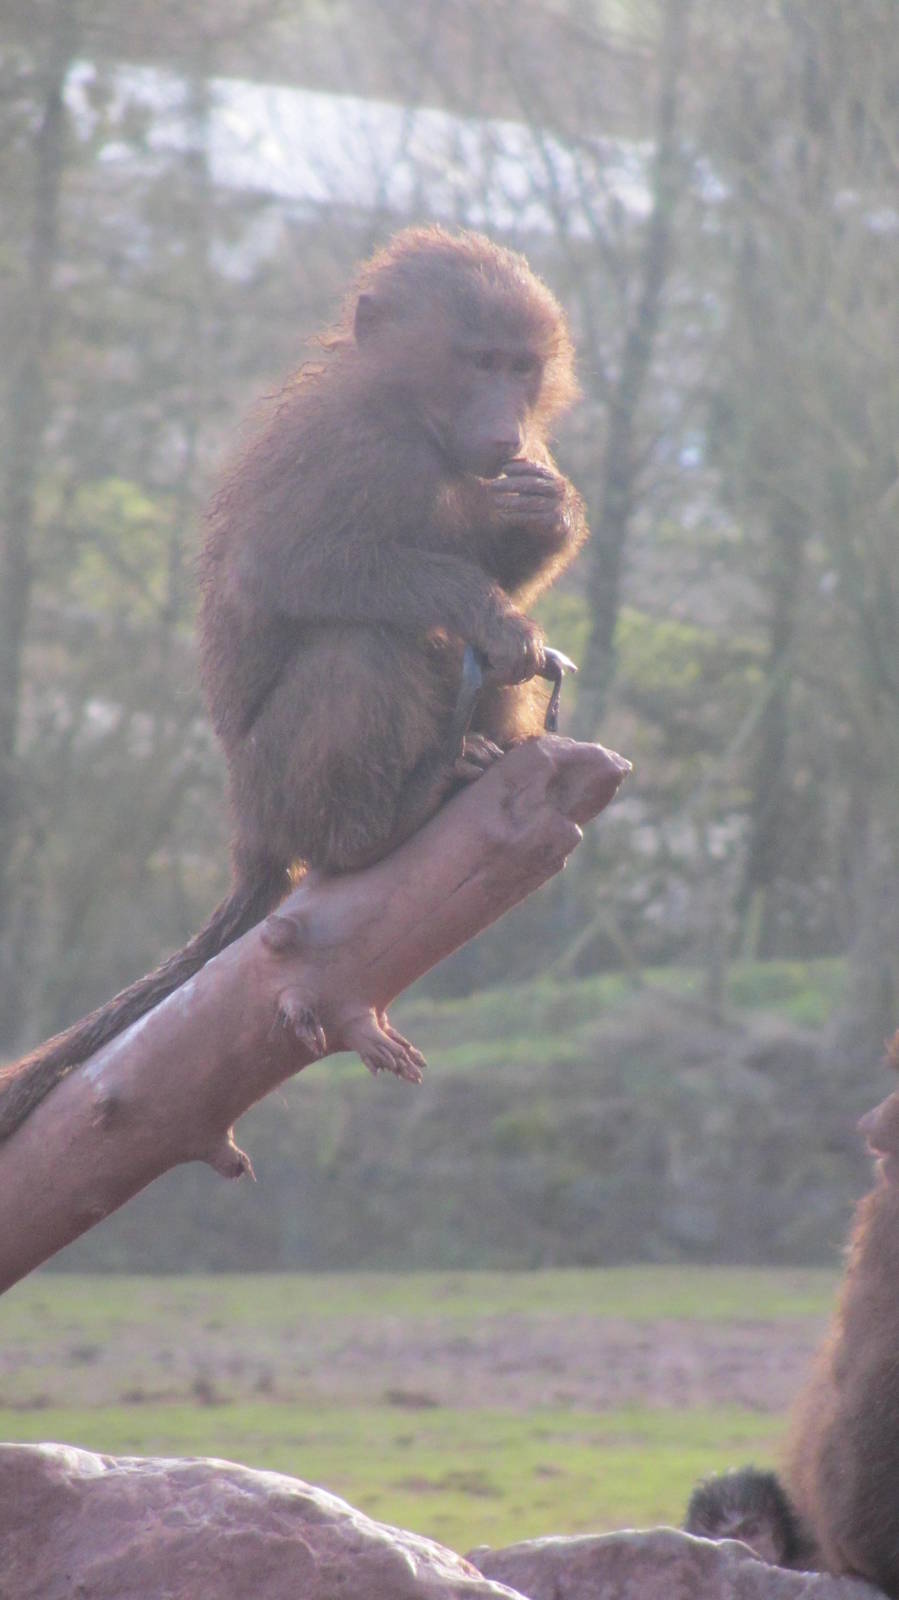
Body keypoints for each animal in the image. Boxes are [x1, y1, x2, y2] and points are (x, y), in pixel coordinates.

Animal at [0, 225, 587, 1142]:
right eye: (479, 360)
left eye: (520, 366)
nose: (505, 430)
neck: (413, 415)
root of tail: (249, 825)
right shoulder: (358, 448)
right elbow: (286, 566)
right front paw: (489, 612)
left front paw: (548, 510)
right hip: (274, 777)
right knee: (362, 643)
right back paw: (374, 830)